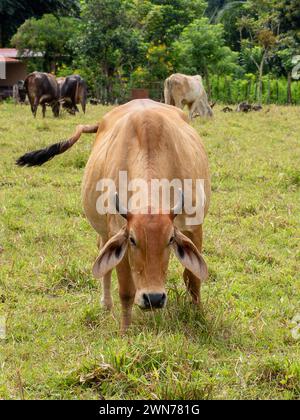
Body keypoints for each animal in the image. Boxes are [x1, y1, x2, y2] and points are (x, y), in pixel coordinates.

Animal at [16, 100, 211, 334]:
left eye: (170, 239)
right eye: (133, 240)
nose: (154, 299)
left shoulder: (194, 227)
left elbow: (193, 278)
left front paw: (198, 314)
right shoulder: (118, 231)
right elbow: (126, 290)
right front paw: (125, 331)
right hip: (103, 230)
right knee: (103, 255)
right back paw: (106, 304)